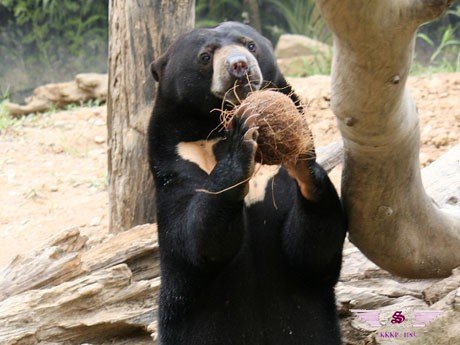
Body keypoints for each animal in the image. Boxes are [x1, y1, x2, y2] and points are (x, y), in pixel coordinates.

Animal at [149, 21, 346, 344]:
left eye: (249, 44)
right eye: (205, 56)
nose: (239, 66)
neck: (213, 129)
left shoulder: (278, 182)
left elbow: (308, 251)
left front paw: (303, 161)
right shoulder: (175, 163)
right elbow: (193, 238)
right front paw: (241, 139)